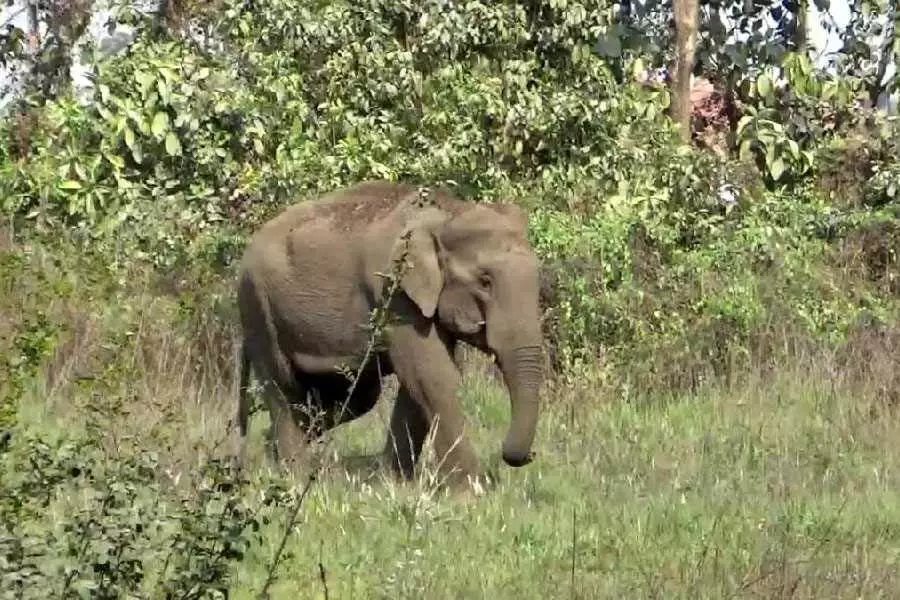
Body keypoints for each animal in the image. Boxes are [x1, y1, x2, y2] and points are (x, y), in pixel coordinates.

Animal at [236, 179, 544, 488]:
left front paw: (393, 482)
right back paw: (293, 478)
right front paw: (470, 490)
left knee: (351, 397)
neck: (447, 213)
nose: (530, 456)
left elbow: (417, 383)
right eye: (485, 282)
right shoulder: (394, 292)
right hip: (258, 309)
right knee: (284, 390)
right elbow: (432, 375)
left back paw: (272, 454)